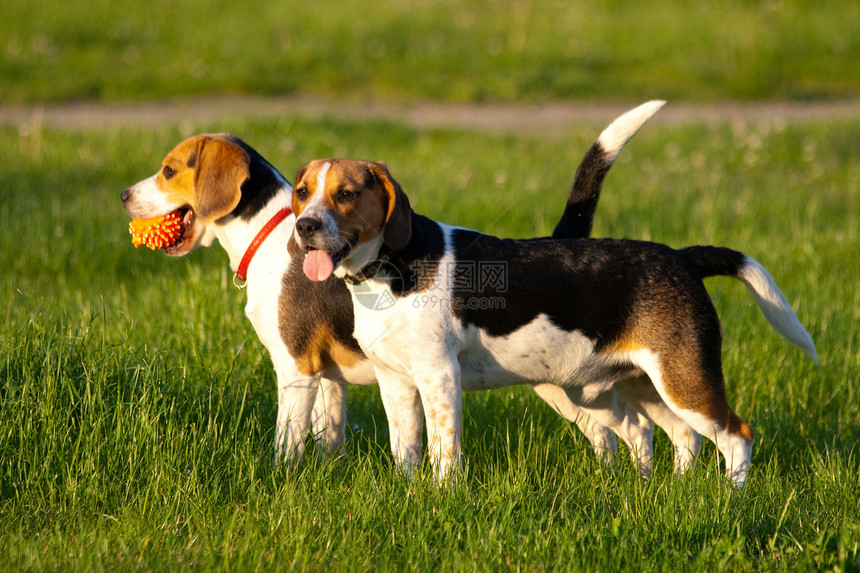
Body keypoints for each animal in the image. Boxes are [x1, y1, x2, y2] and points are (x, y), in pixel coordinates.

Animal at [122, 100, 672, 466]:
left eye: (168, 170)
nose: (125, 194)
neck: (269, 229)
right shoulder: (330, 380)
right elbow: (330, 436)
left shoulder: (296, 370)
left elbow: (286, 443)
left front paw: (281, 479)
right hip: (568, 383)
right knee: (623, 431)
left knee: (626, 430)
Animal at [290, 152, 820, 488]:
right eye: (301, 192)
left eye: (345, 194)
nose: (304, 226)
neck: (387, 270)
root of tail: (682, 258)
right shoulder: (396, 382)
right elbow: (406, 449)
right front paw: (409, 491)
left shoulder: (439, 377)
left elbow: (444, 451)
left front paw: (442, 495)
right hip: (640, 386)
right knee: (676, 434)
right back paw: (670, 490)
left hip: (685, 380)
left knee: (736, 436)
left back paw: (733, 497)